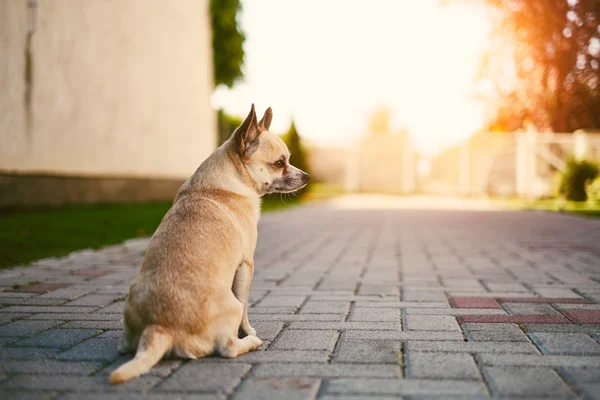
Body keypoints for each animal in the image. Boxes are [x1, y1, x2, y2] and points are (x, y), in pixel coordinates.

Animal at [109, 104, 312, 382]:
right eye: (279, 164)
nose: (307, 176)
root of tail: (159, 328)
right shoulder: (246, 265)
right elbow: (245, 309)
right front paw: (249, 331)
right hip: (231, 308)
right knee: (228, 346)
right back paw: (250, 343)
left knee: (124, 347)